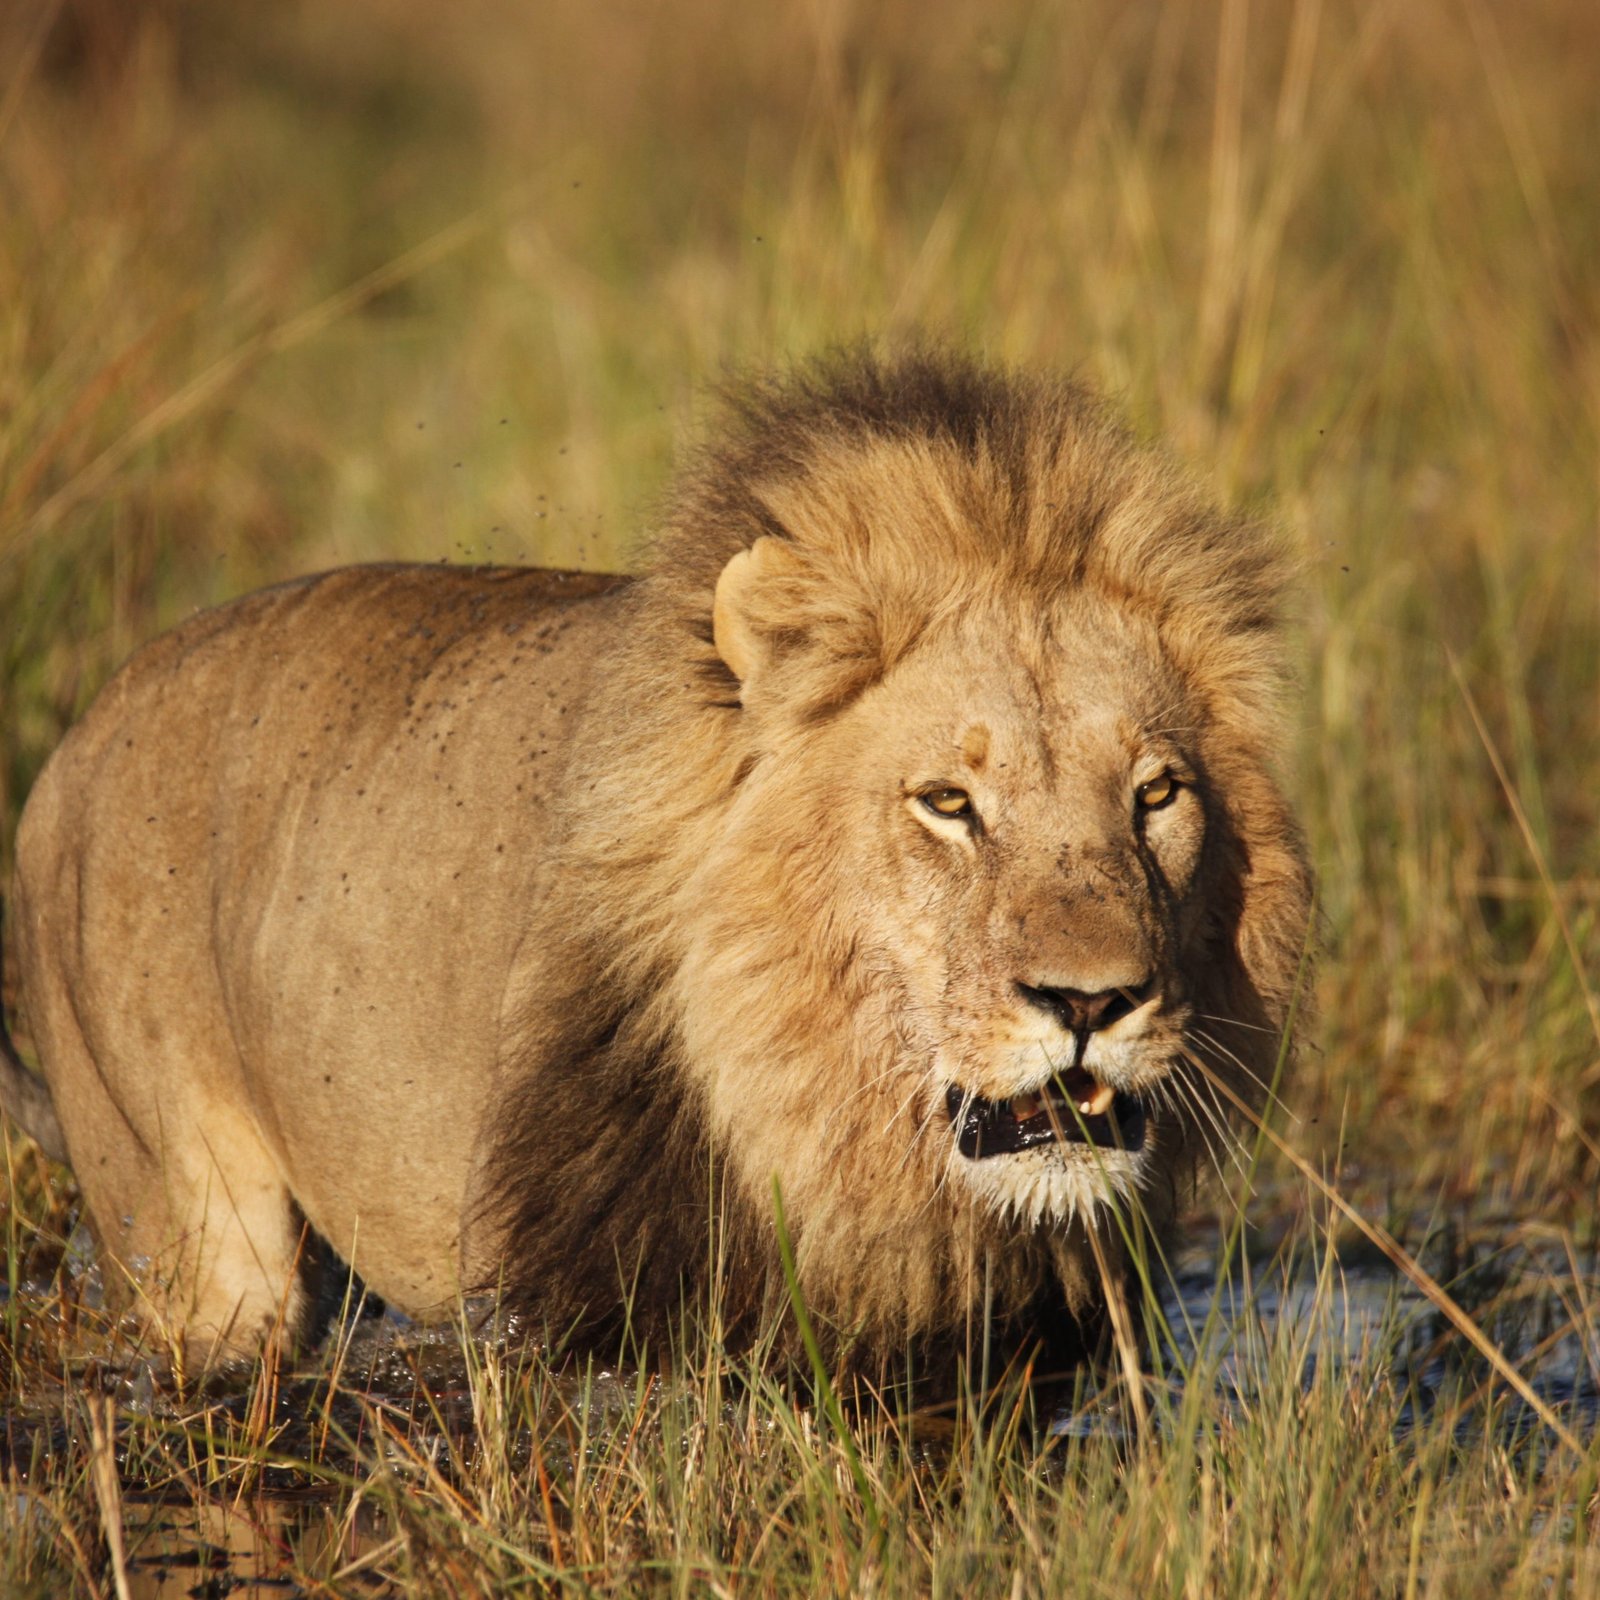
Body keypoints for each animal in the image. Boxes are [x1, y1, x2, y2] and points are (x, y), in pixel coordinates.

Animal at [0, 352, 1312, 1373]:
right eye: (948, 804)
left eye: (1154, 795)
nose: (1092, 1002)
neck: (841, 1116)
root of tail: (83, 730)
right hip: (188, 1225)